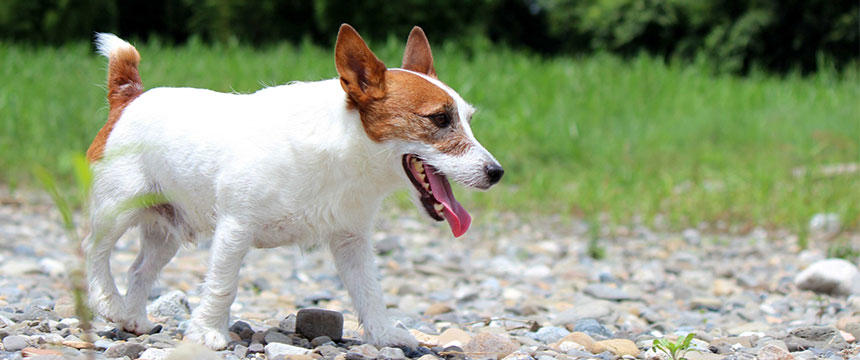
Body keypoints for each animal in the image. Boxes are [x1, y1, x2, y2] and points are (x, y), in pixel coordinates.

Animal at [84, 24, 500, 348]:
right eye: (440, 119)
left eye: (468, 119)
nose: (497, 172)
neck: (345, 153)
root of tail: (130, 96)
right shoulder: (235, 229)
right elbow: (223, 284)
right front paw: (208, 332)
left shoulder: (352, 242)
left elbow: (369, 290)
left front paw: (383, 334)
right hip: (116, 208)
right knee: (94, 251)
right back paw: (107, 302)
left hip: (166, 230)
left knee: (139, 270)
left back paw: (132, 317)